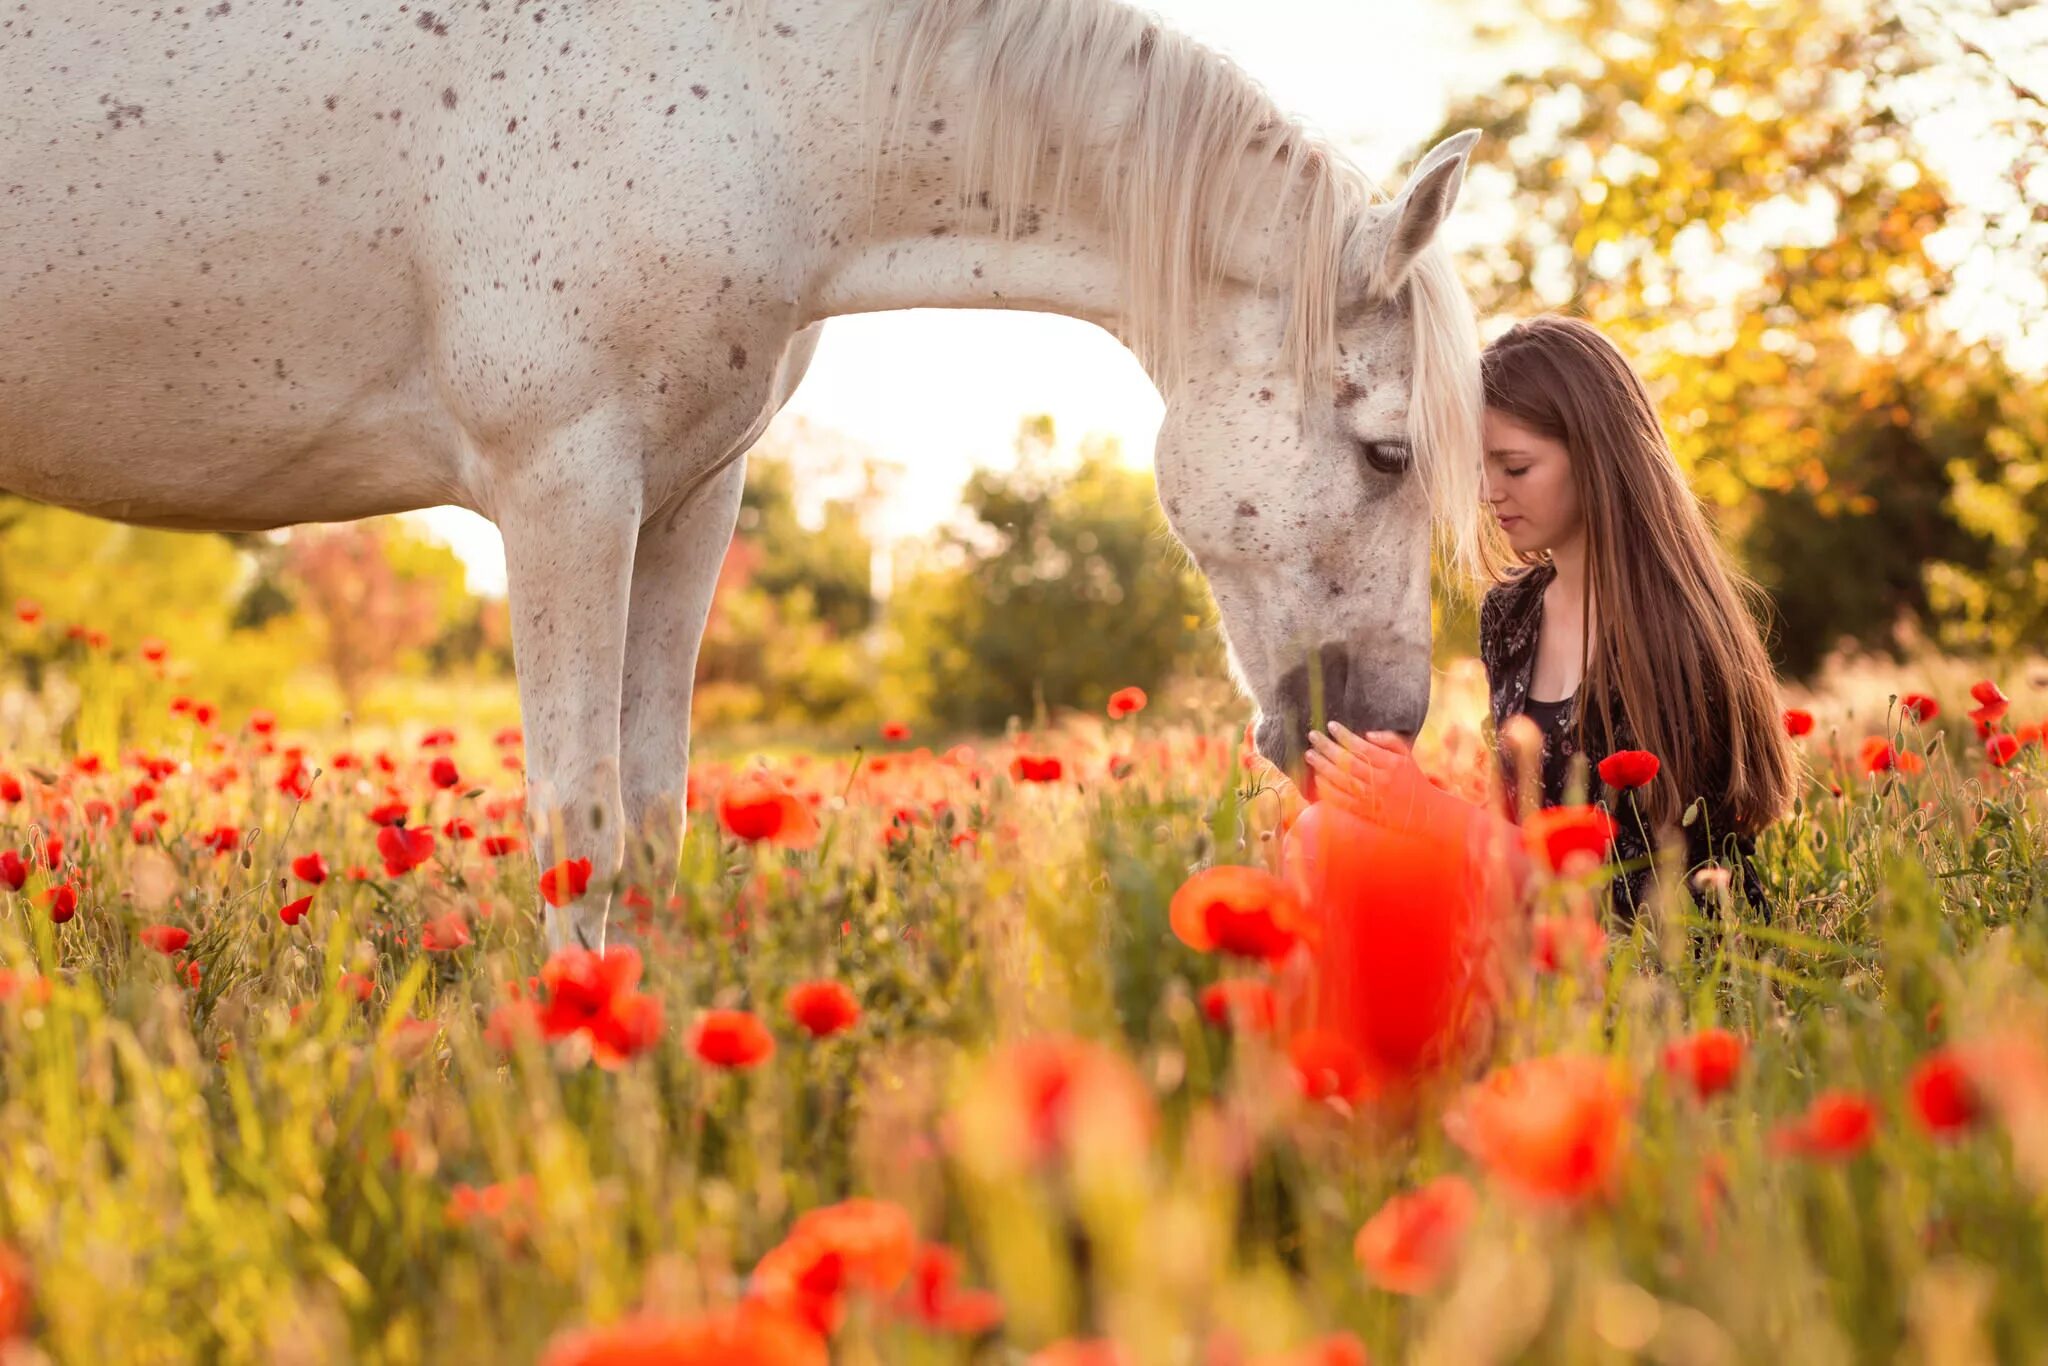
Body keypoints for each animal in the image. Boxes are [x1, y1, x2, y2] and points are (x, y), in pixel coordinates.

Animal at [0, 0, 1474, 950]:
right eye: (1387, 450)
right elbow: (578, 819)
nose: (1390, 724)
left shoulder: (685, 498)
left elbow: (654, 819)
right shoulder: (563, 488)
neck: (751, 101)